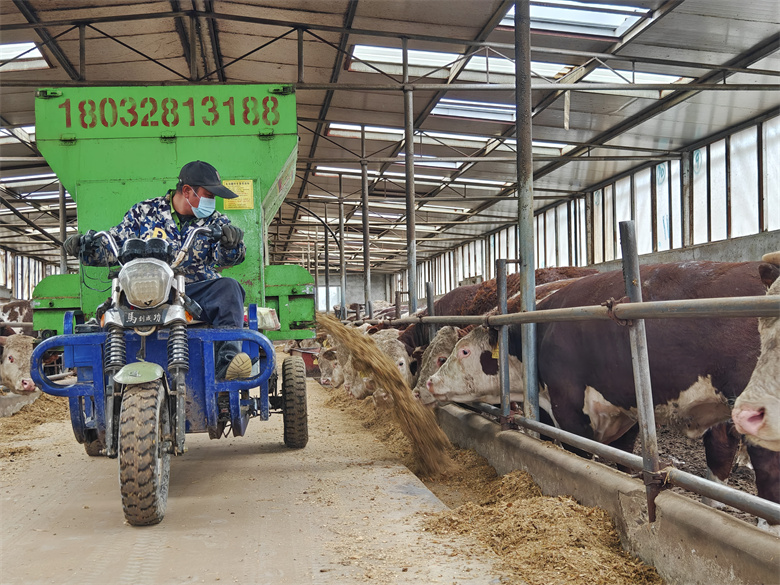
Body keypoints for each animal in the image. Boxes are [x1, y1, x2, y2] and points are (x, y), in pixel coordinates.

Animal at [426, 261, 780, 527]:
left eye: (463, 352)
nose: (429, 383)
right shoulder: (628, 411)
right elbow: (621, 460)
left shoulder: (568, 410)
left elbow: (581, 457)